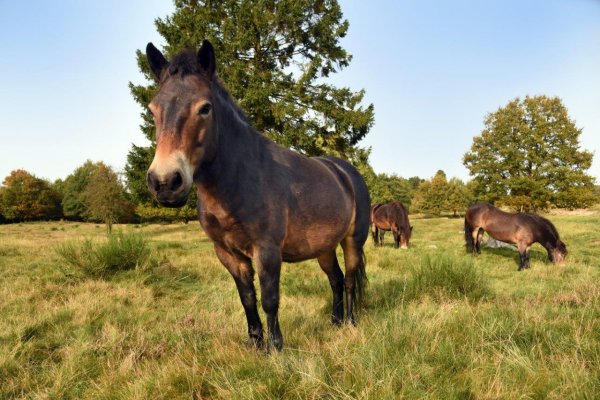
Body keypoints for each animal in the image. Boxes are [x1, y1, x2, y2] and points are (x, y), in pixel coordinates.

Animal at [145, 40, 370, 352]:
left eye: (204, 108)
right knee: (335, 280)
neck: (237, 181)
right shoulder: (227, 254)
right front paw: (254, 342)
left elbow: (269, 299)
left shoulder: (267, 251)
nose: (165, 182)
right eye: (153, 110)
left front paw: (275, 347)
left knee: (348, 281)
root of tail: (346, 172)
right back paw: (335, 322)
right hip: (324, 246)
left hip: (353, 241)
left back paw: (349, 322)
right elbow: (247, 298)